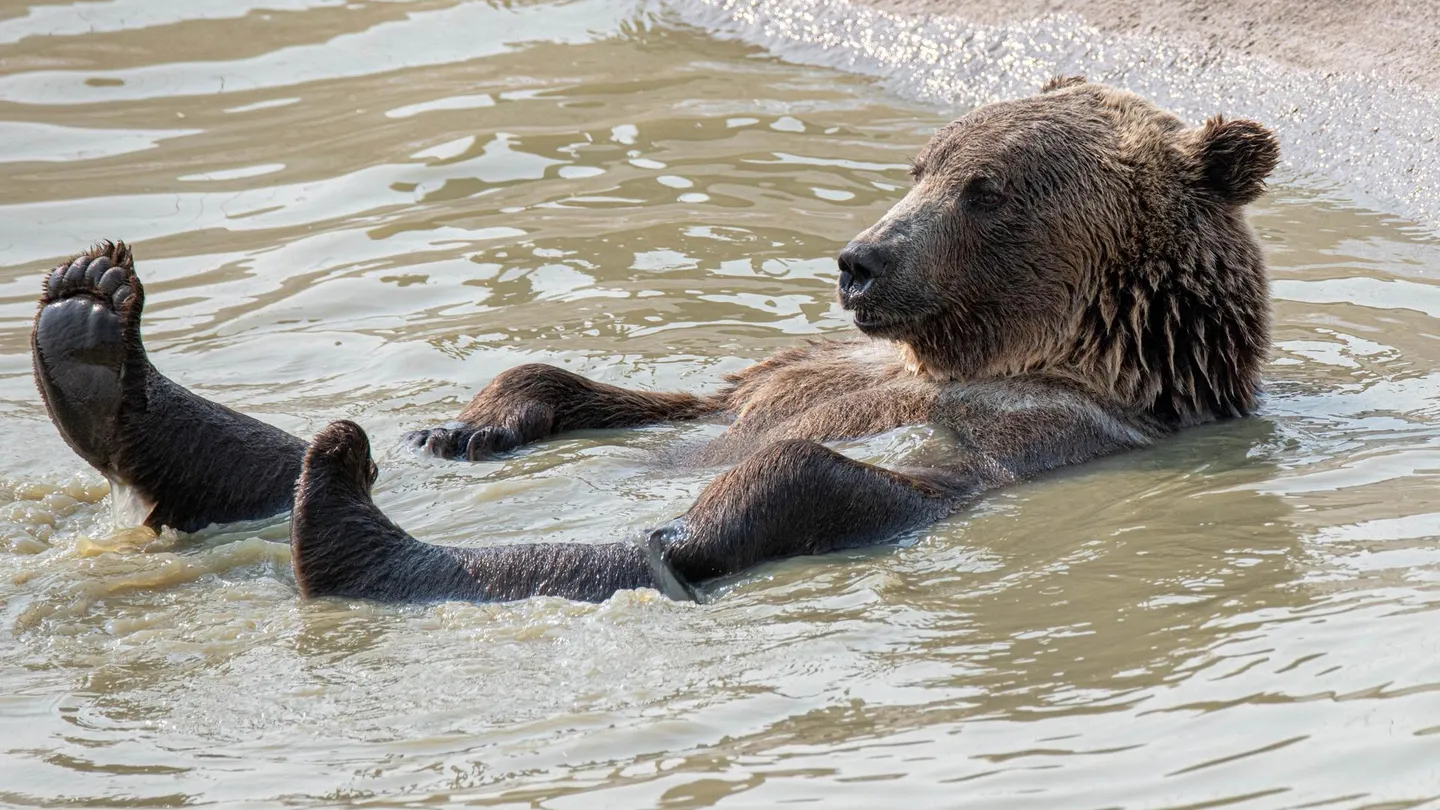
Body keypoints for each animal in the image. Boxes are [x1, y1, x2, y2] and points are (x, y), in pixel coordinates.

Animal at [28, 77, 1278, 605]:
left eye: (989, 189)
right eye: (923, 163)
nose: (861, 260)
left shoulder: (1043, 433)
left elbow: (836, 462)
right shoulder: (788, 368)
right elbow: (625, 388)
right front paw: (473, 426)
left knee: (742, 508)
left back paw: (347, 526)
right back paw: (91, 330)